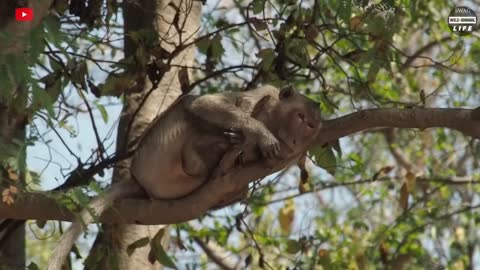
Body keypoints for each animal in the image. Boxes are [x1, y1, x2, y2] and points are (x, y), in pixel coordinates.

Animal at [47, 85, 322, 270]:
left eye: (311, 126)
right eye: (301, 118)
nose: (295, 140)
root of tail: (138, 178)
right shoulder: (264, 93)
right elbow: (207, 104)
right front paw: (260, 133)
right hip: (158, 149)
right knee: (190, 104)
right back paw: (211, 149)